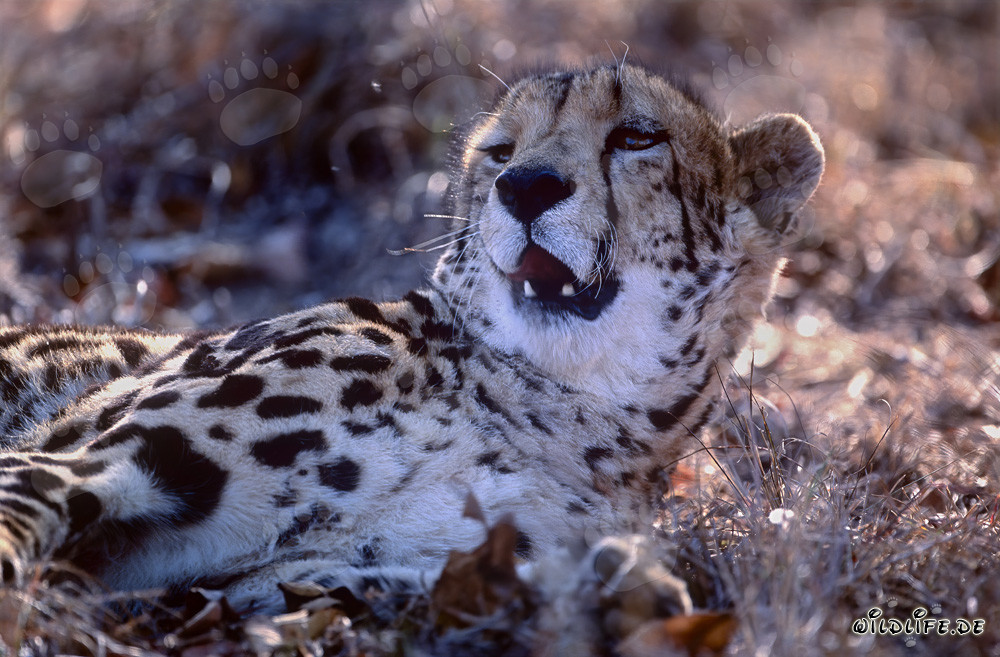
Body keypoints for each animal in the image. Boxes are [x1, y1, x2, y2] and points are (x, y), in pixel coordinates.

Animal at [0, 63, 823, 615]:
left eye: (636, 137)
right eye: (500, 151)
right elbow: (22, 516)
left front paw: (622, 583)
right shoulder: (63, 457)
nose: (525, 187)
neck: (564, 408)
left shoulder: (281, 578)